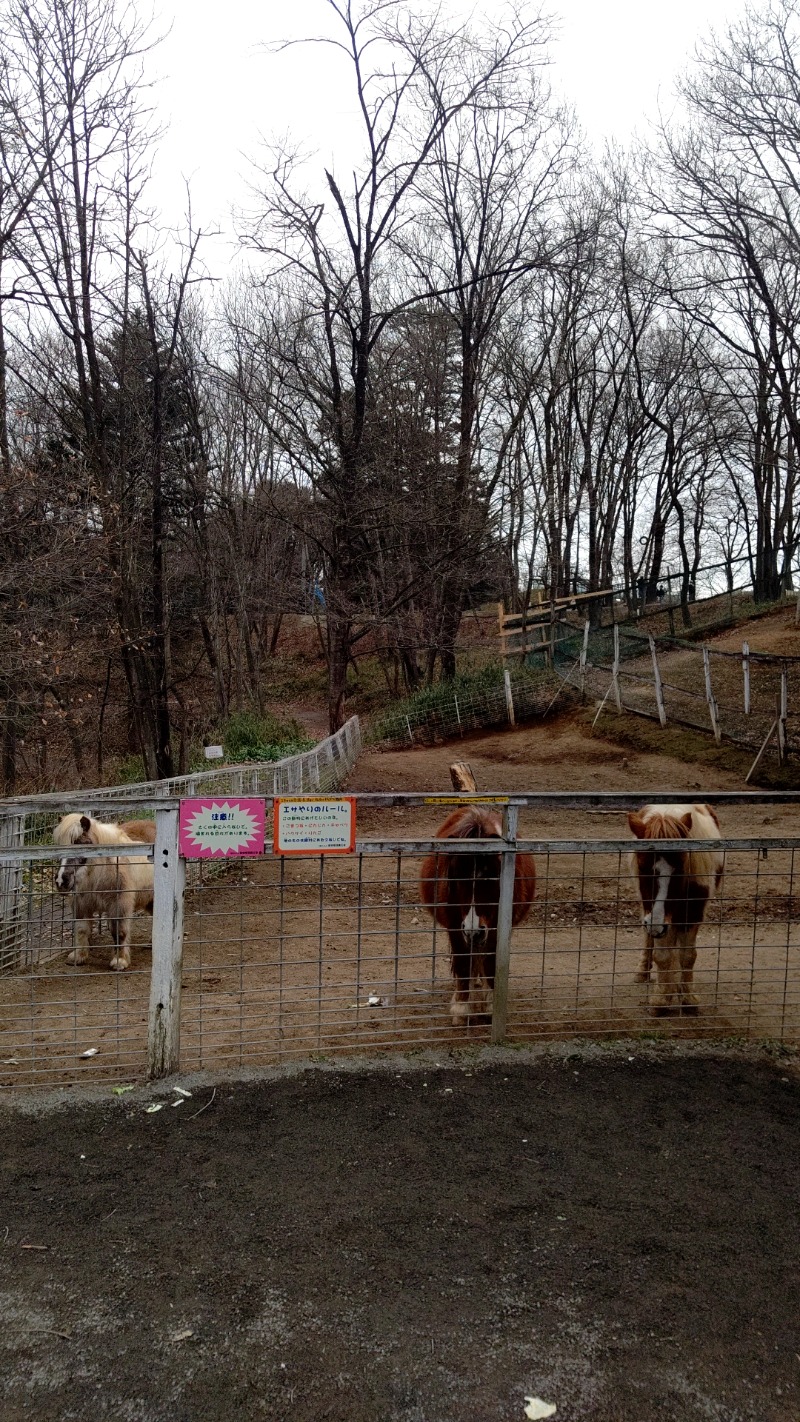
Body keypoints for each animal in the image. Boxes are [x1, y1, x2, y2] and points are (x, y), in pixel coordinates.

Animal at [420, 807, 537, 1029]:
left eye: (492, 877)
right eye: (457, 878)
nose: (474, 929)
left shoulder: (497, 928)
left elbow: (492, 964)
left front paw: (490, 1007)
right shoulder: (455, 928)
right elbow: (463, 963)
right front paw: (461, 1009)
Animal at [633, 802, 727, 1012]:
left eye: (681, 869)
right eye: (643, 868)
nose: (656, 924)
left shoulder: (693, 912)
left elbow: (688, 955)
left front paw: (688, 998)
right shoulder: (656, 917)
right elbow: (662, 955)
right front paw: (661, 999)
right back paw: (644, 972)